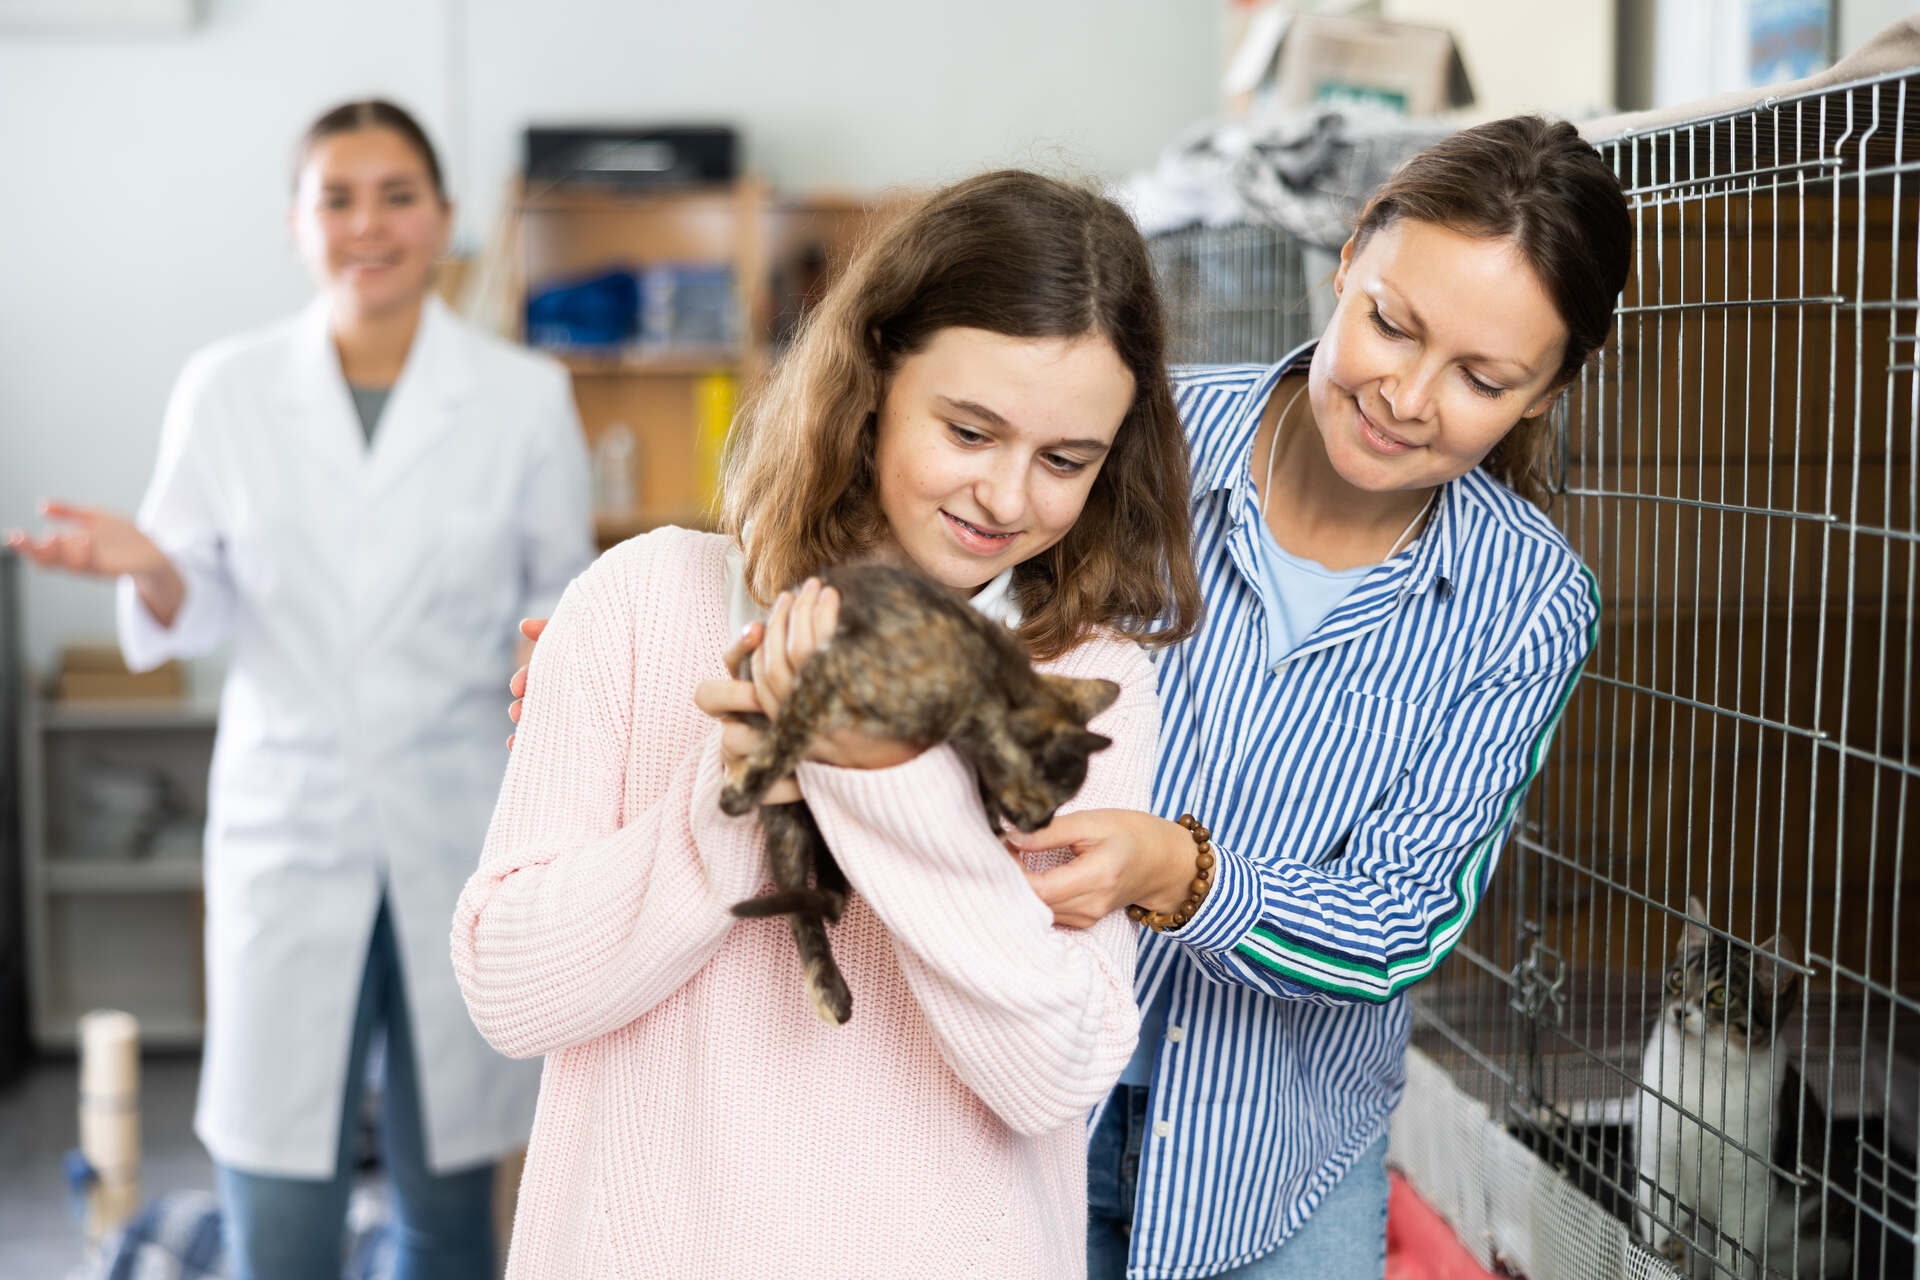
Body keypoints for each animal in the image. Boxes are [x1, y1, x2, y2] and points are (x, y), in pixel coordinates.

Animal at [718, 564, 1113, 1028]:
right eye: (1053, 801)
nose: (1045, 823)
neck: (986, 680)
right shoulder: (830, 675)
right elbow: (790, 731)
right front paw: (740, 792)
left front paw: (989, 816)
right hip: (787, 823)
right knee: (800, 911)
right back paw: (828, 989)